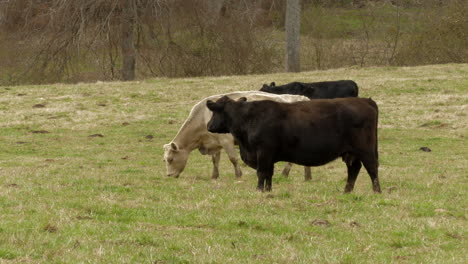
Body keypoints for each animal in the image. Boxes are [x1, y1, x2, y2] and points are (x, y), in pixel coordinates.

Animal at [163, 91, 312, 179]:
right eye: (164, 160)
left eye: (170, 159)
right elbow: (215, 160)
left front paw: (238, 175)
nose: (169, 175)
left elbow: (233, 158)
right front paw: (215, 176)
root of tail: (302, 97)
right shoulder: (215, 142)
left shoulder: (226, 140)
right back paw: (307, 176)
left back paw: (286, 173)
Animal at [207, 96, 382, 193]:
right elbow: (269, 174)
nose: (208, 126)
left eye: (214, 112)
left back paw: (376, 191)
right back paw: (347, 191)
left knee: (372, 168)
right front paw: (268, 191)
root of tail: (365, 100)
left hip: (365, 150)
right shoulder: (269, 157)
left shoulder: (263, 152)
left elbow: (262, 173)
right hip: (351, 153)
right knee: (354, 169)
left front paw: (258, 190)